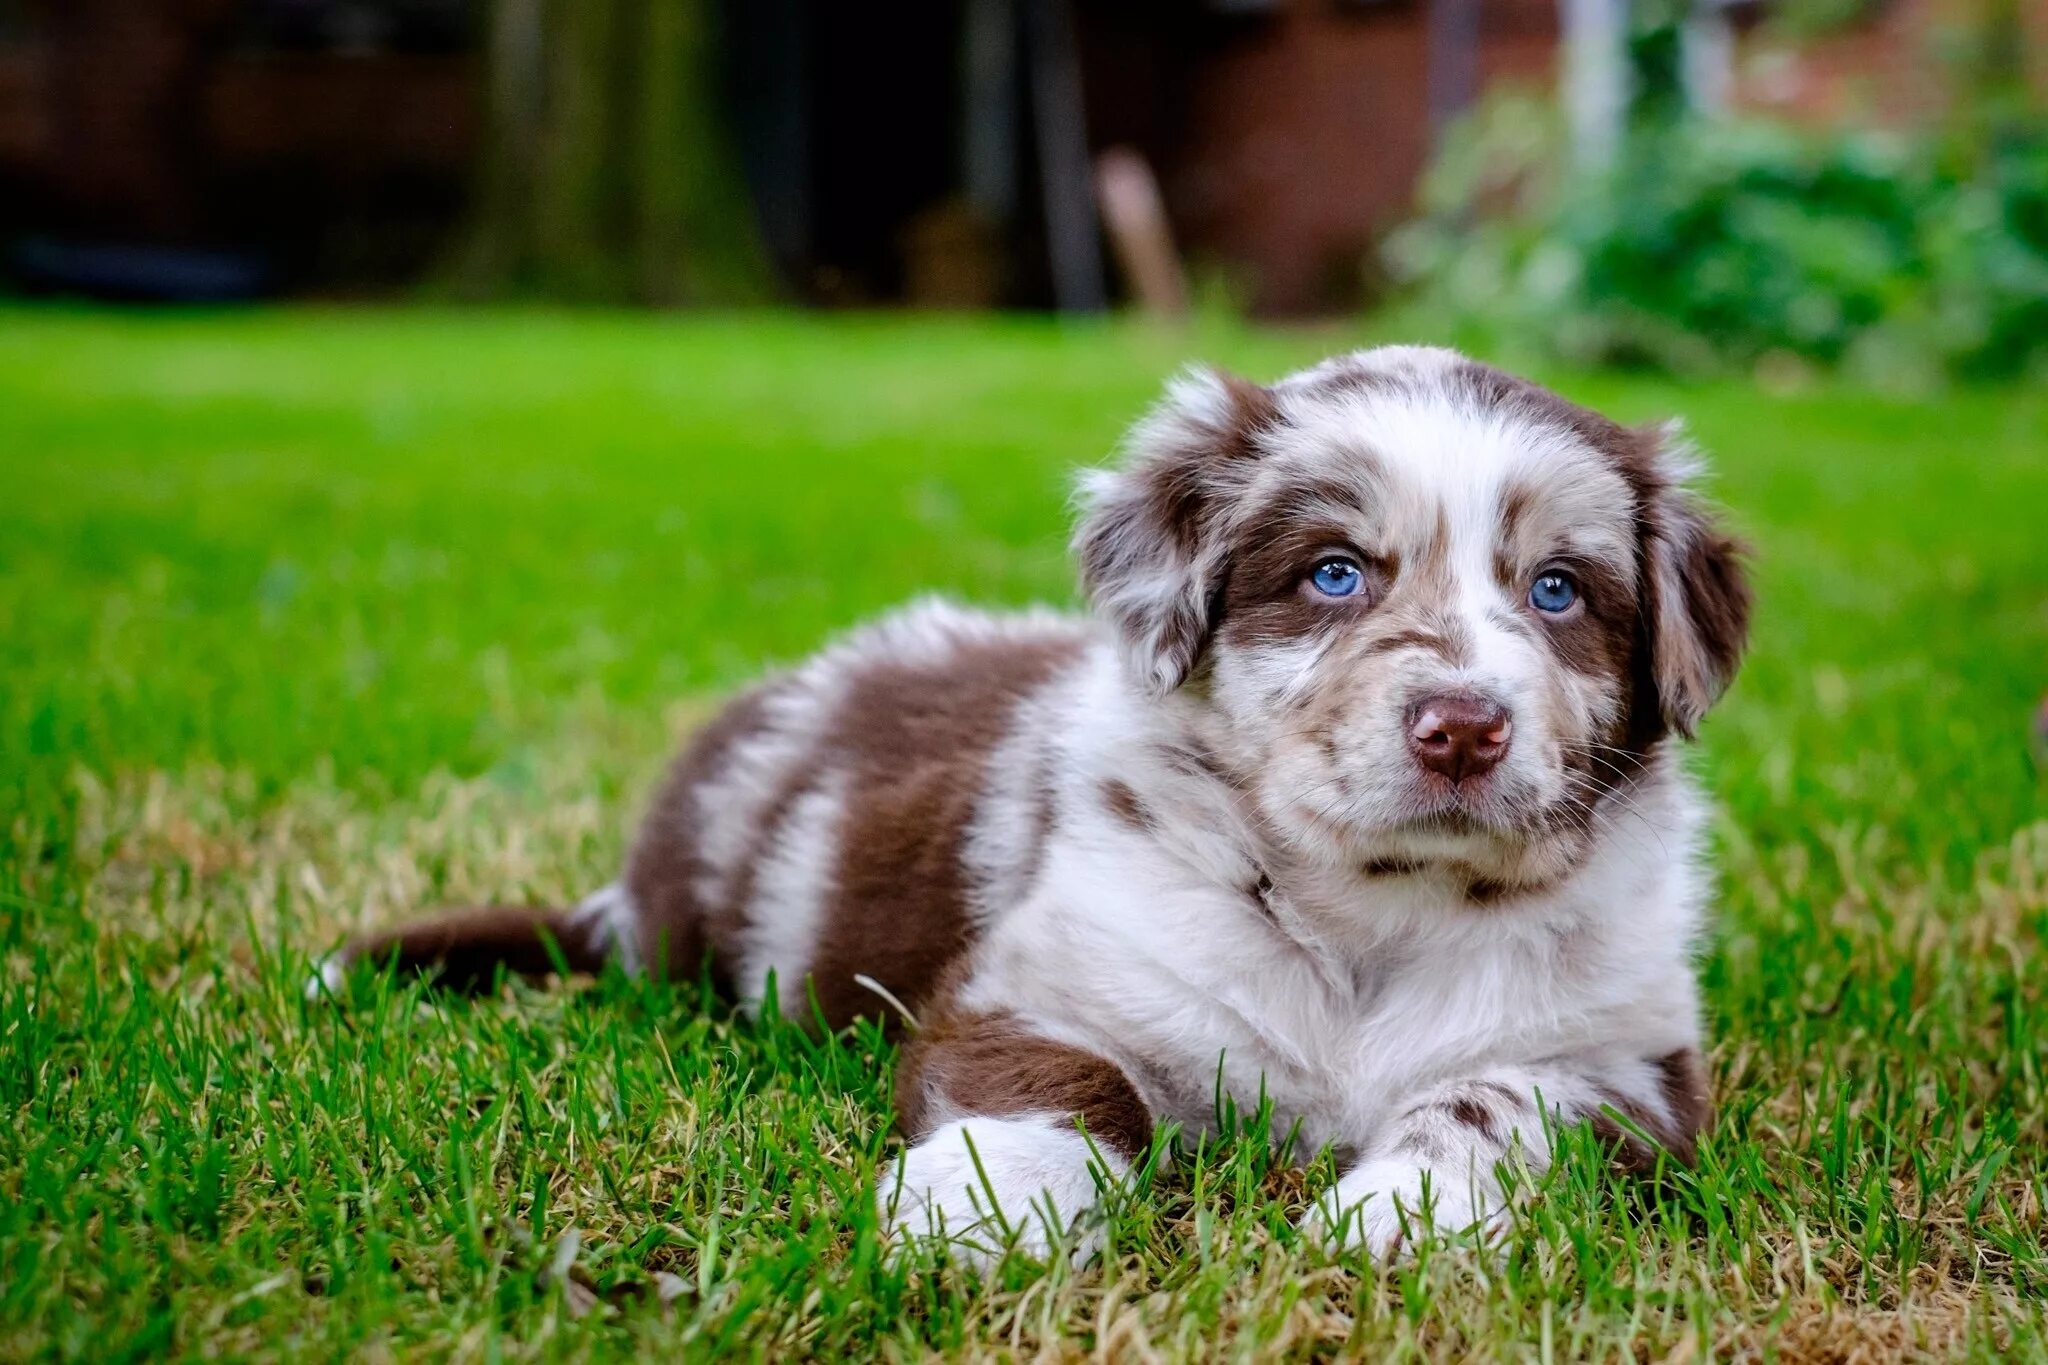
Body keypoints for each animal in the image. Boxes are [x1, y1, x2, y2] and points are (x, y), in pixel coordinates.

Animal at [327, 347, 1753, 1268]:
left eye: (1557, 591)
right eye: (1334, 574)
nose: (1462, 727)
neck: (1369, 915)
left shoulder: (1626, 1065)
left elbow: (1498, 1105)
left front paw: (1403, 1217)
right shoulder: (1049, 983)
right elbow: (1062, 1093)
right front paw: (976, 1217)